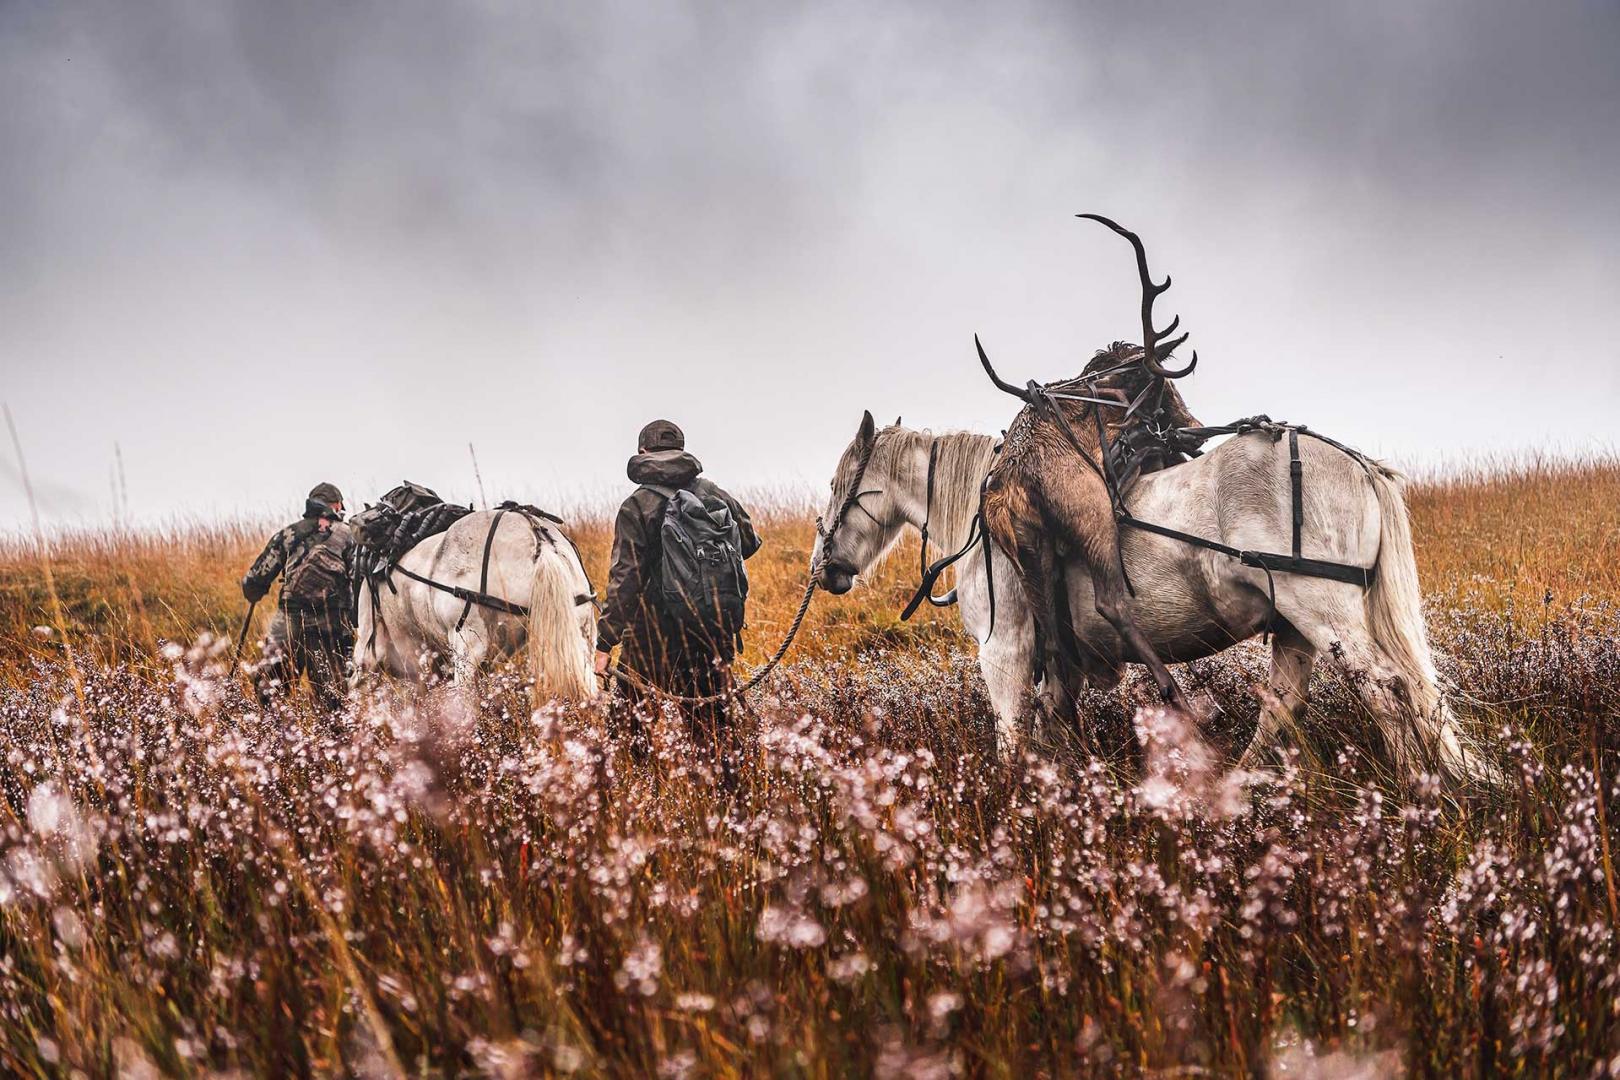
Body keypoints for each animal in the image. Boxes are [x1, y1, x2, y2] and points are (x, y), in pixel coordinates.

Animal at [810, 414, 1490, 786]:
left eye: (839, 483)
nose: (825, 568)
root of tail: (1358, 464)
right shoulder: (1058, 662)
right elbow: (1055, 728)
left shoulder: (1004, 650)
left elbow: (1011, 737)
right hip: (1298, 627)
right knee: (1286, 705)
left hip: (1324, 614)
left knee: (1387, 690)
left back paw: (1416, 789)